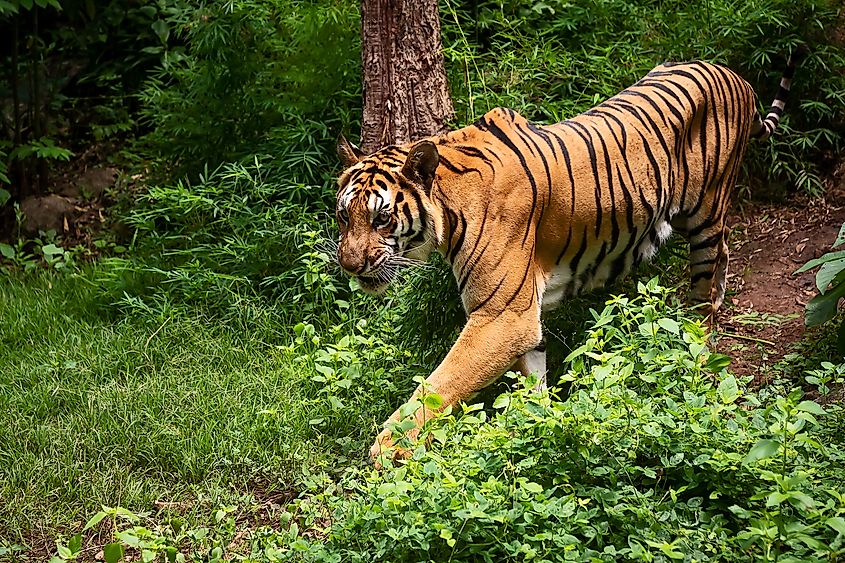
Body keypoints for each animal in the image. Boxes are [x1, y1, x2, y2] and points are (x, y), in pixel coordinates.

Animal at [334, 50, 805, 465]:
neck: (449, 210)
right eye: (343, 215)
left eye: (381, 218)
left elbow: (438, 383)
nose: (350, 266)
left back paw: (695, 344)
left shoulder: (501, 317)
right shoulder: (522, 316)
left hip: (705, 210)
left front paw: (389, 447)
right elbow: (532, 381)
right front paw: (539, 425)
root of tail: (736, 75)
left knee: (707, 279)